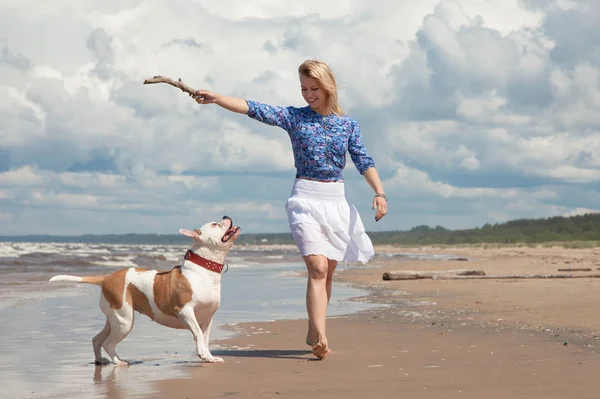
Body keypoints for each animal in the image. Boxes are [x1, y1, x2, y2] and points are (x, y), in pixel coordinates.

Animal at [49, 217, 241, 368]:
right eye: (215, 224)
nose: (226, 216)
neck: (203, 271)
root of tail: (107, 278)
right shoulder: (185, 311)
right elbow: (199, 334)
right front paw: (202, 353)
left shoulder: (207, 318)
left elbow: (205, 338)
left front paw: (208, 357)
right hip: (125, 322)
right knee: (108, 344)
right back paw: (118, 361)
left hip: (115, 319)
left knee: (97, 339)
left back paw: (100, 360)